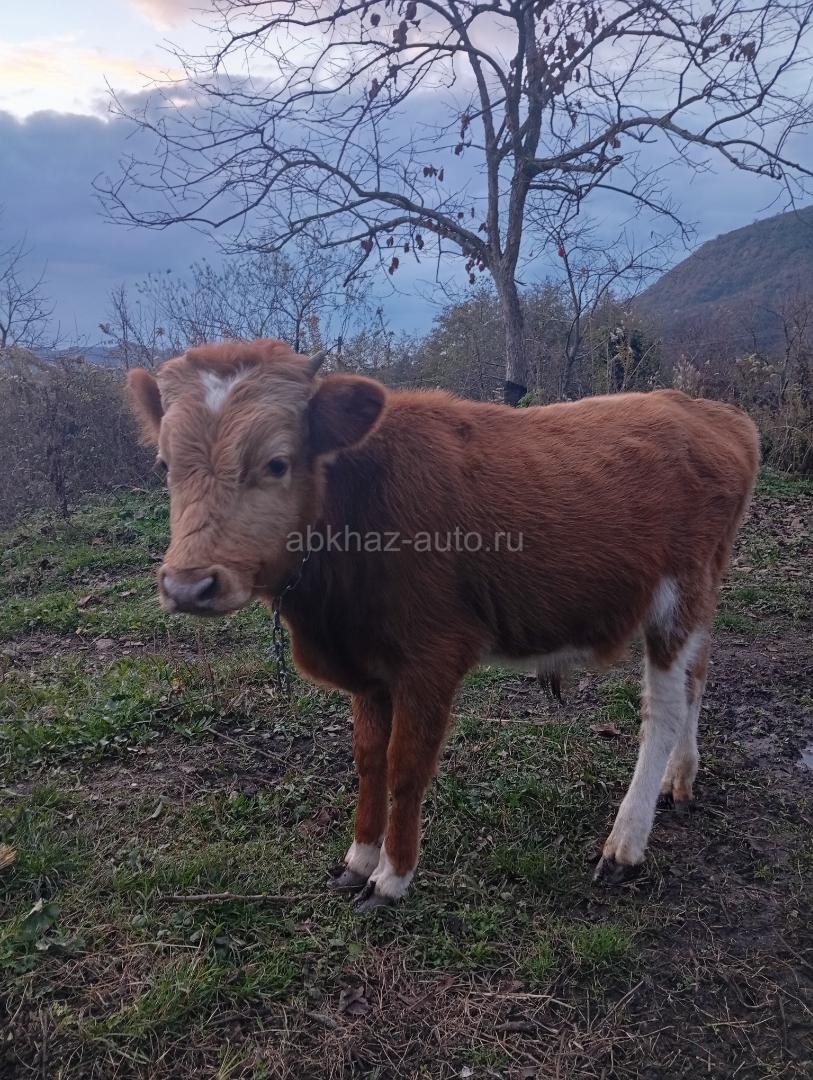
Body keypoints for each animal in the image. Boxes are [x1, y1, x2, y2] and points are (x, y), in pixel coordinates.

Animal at [127, 339, 760, 911]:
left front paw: (393, 876)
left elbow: (406, 765)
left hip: (677, 597)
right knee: (698, 677)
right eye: (163, 465)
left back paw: (625, 843)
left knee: (664, 709)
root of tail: (708, 411)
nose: (188, 585)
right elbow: (368, 759)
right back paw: (681, 780)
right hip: (699, 598)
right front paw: (359, 858)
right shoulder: (368, 666)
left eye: (277, 462)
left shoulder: (431, 656)